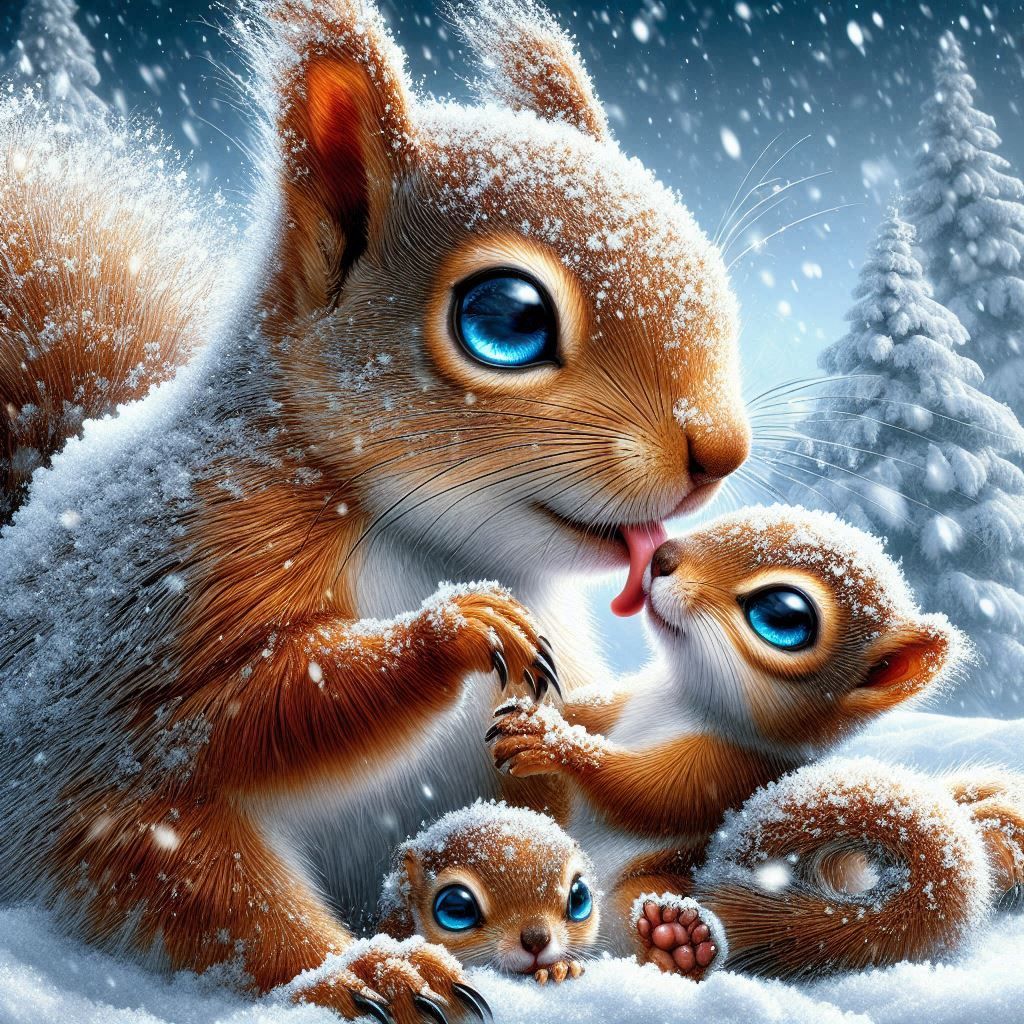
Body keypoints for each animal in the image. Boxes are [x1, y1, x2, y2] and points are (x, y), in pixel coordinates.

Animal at [488, 505, 1024, 975]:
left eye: (783, 614)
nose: (661, 555)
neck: (677, 698)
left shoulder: (731, 769)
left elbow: (651, 794)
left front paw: (553, 742)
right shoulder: (620, 704)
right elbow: (588, 709)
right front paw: (538, 706)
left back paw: (675, 941)